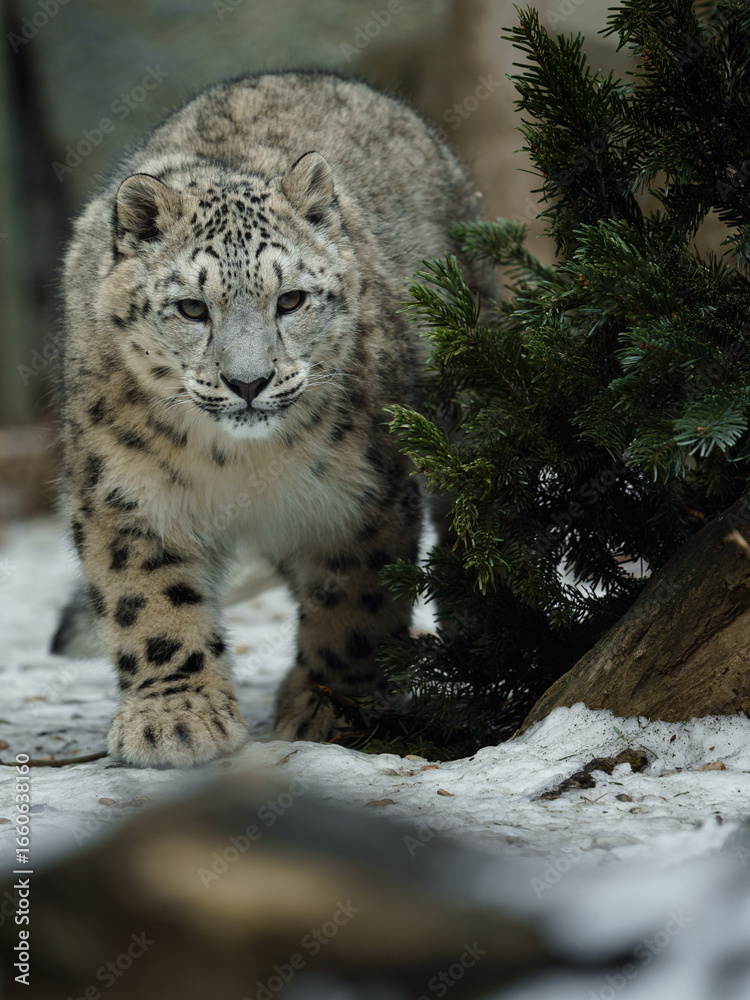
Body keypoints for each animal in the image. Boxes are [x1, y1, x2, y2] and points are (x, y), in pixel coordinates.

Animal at [51, 70, 494, 767]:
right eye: (191, 307)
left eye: (291, 300)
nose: (249, 381)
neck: (237, 462)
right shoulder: (126, 493)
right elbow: (147, 600)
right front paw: (175, 717)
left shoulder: (362, 494)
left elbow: (355, 604)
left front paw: (334, 706)